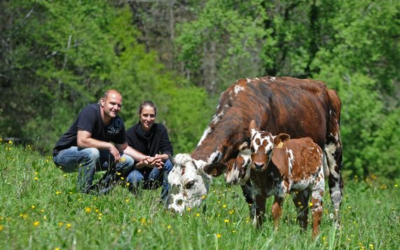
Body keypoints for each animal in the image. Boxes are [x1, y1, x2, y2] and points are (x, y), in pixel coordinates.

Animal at [167, 76, 342, 227]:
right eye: (169, 181)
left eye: (190, 183)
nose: (172, 212)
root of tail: (324, 87)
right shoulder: (244, 168)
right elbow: (251, 198)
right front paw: (254, 224)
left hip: (334, 147)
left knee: (336, 191)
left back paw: (336, 228)